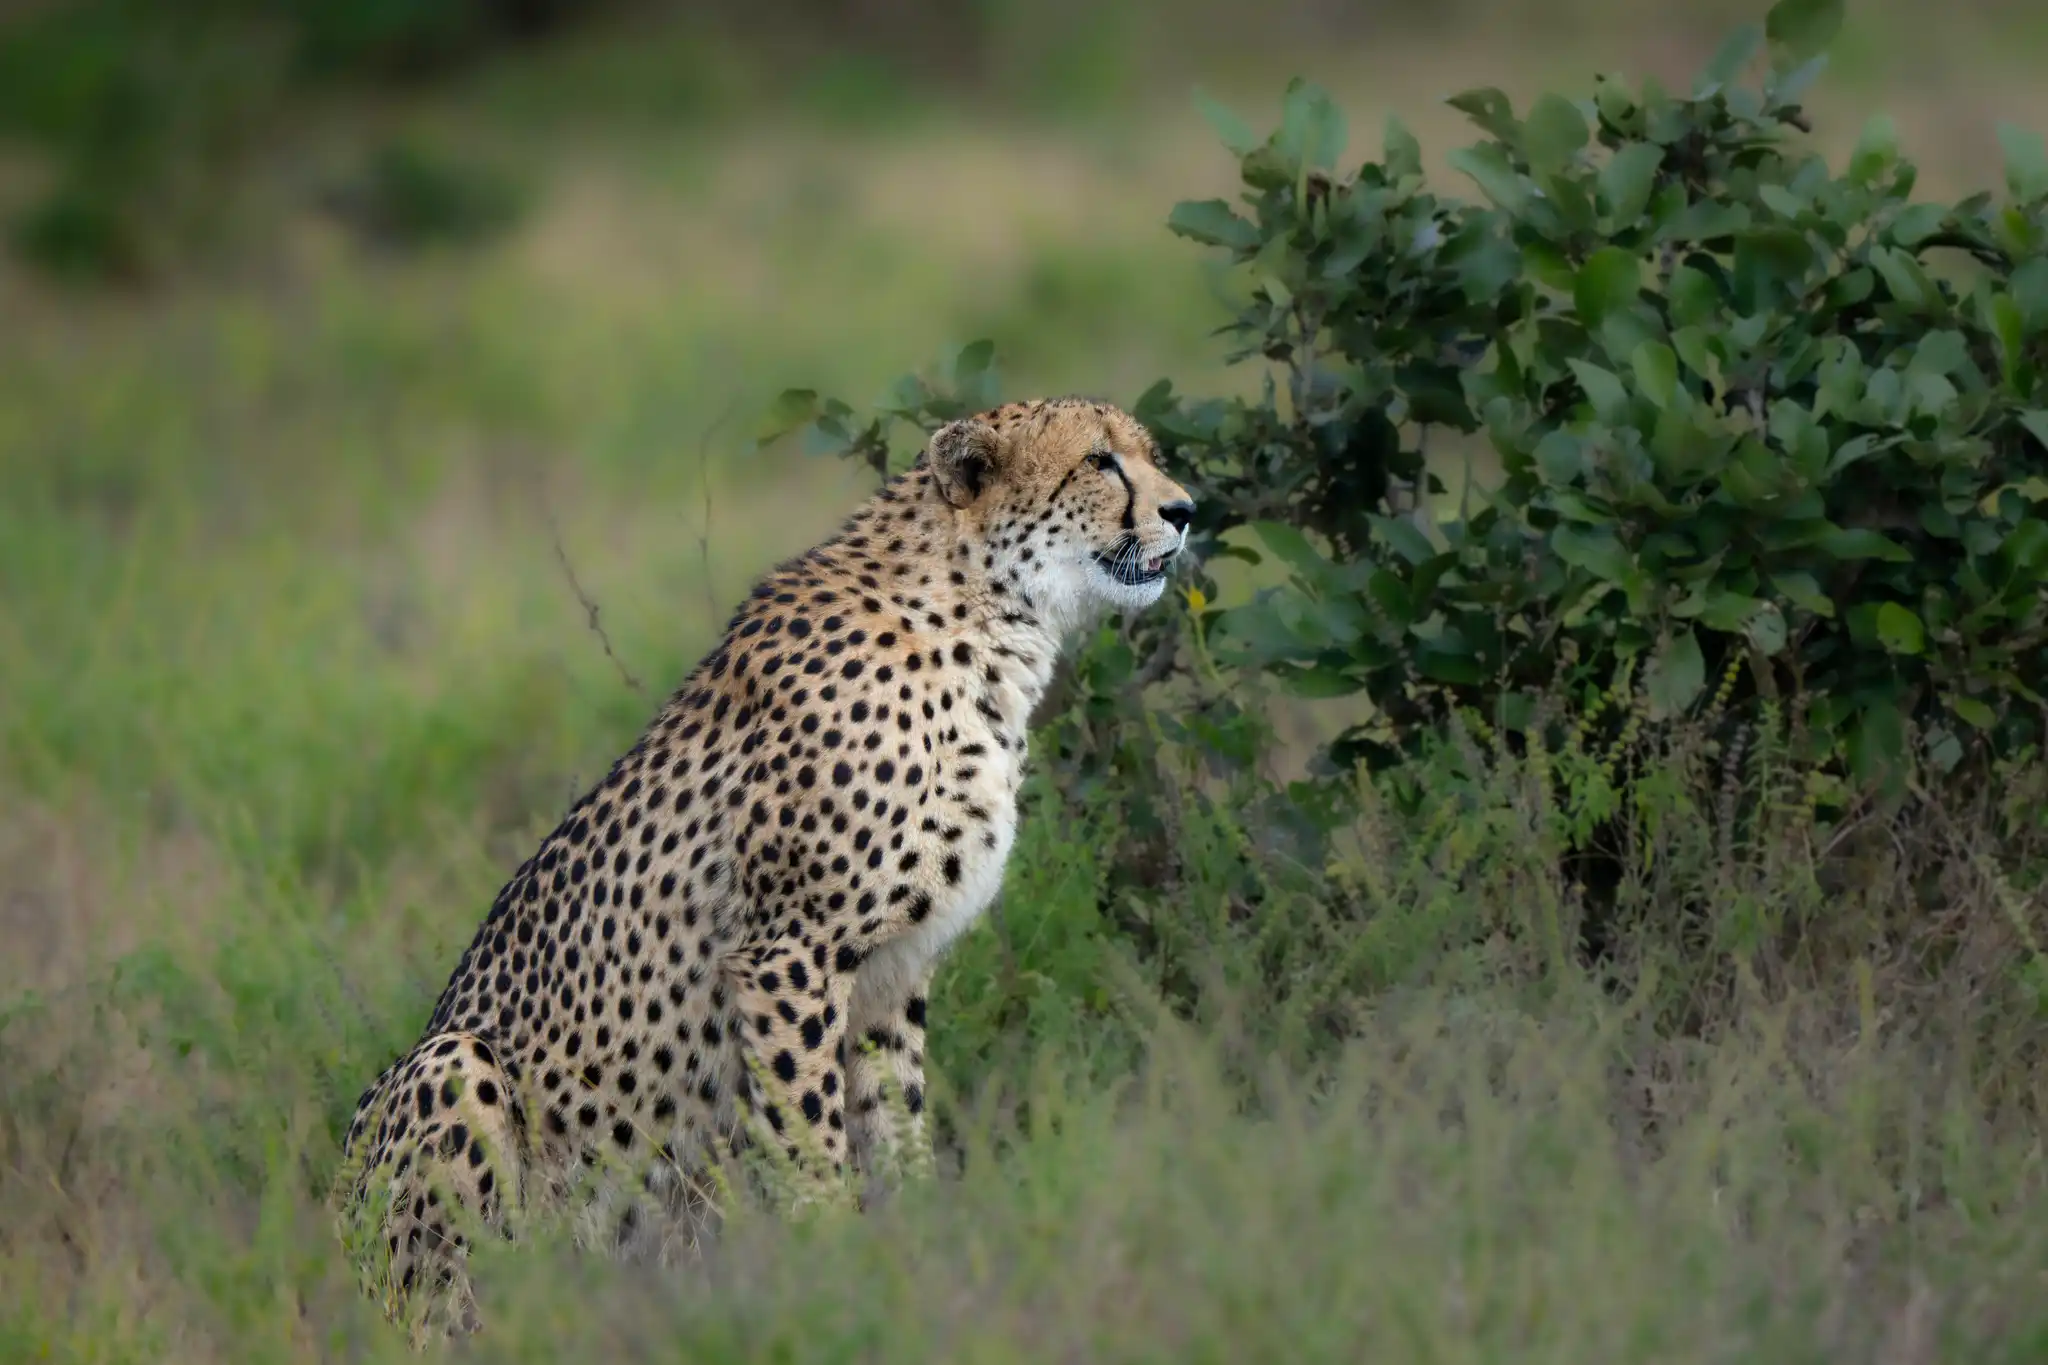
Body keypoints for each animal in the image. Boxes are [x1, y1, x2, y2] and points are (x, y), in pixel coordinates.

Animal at [330, 397, 1196, 1347]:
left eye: (1148, 453)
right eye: (1099, 461)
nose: (1187, 510)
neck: (985, 616)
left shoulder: (893, 971)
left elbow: (894, 1122)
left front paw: (918, 1258)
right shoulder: (790, 953)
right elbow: (810, 1137)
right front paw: (836, 1272)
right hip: (450, 1068)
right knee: (446, 1304)